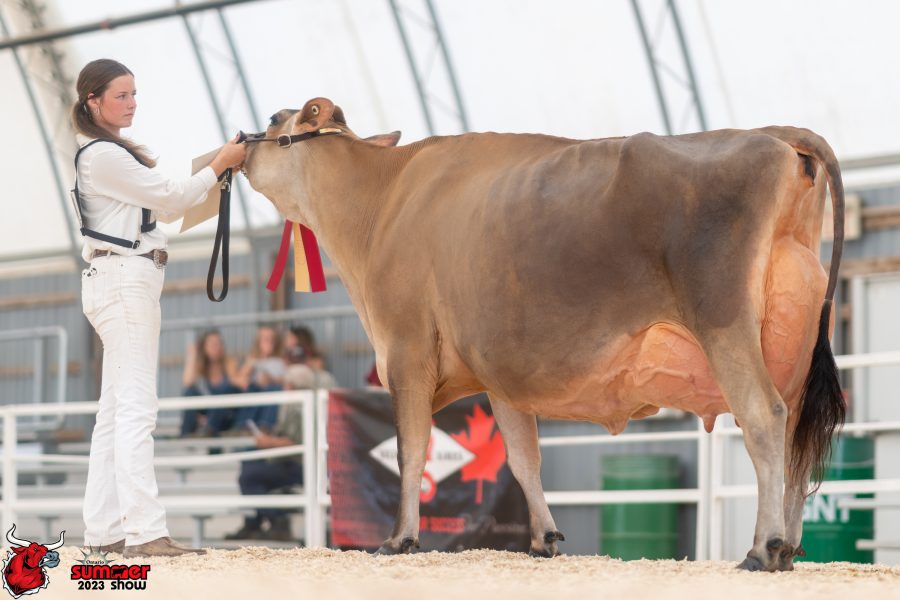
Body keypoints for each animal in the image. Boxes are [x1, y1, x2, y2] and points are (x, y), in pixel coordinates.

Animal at [241, 98, 845, 572]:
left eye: (273, 119)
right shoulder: (499, 377)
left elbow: (412, 450)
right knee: (795, 437)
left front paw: (398, 539)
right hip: (792, 339)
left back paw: (763, 549)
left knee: (764, 417)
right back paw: (790, 548)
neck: (382, 199)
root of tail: (774, 133)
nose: (240, 145)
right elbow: (522, 458)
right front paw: (544, 538)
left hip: (724, 323)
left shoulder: (407, 349)